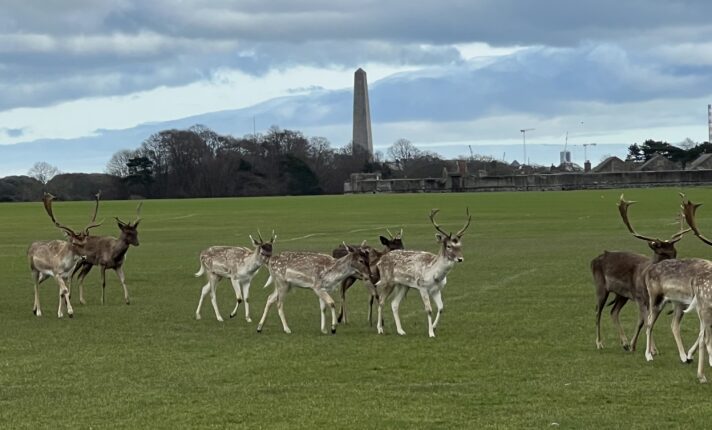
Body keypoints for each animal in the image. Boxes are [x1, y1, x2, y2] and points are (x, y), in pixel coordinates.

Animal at [376, 207, 470, 336]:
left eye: (460, 245)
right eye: (449, 246)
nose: (460, 259)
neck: (435, 275)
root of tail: (380, 260)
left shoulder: (436, 289)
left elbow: (441, 308)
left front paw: (434, 327)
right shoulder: (422, 287)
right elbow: (429, 310)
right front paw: (431, 333)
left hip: (403, 285)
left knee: (394, 304)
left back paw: (401, 331)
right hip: (387, 281)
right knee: (381, 301)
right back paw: (380, 329)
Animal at [588, 197, 688, 352]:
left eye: (674, 252)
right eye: (662, 253)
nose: (676, 266)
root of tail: (594, 260)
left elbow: (646, 321)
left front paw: (638, 346)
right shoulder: (640, 298)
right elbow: (645, 321)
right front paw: (650, 349)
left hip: (622, 295)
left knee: (613, 311)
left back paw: (624, 343)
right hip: (600, 286)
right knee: (598, 311)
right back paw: (599, 343)